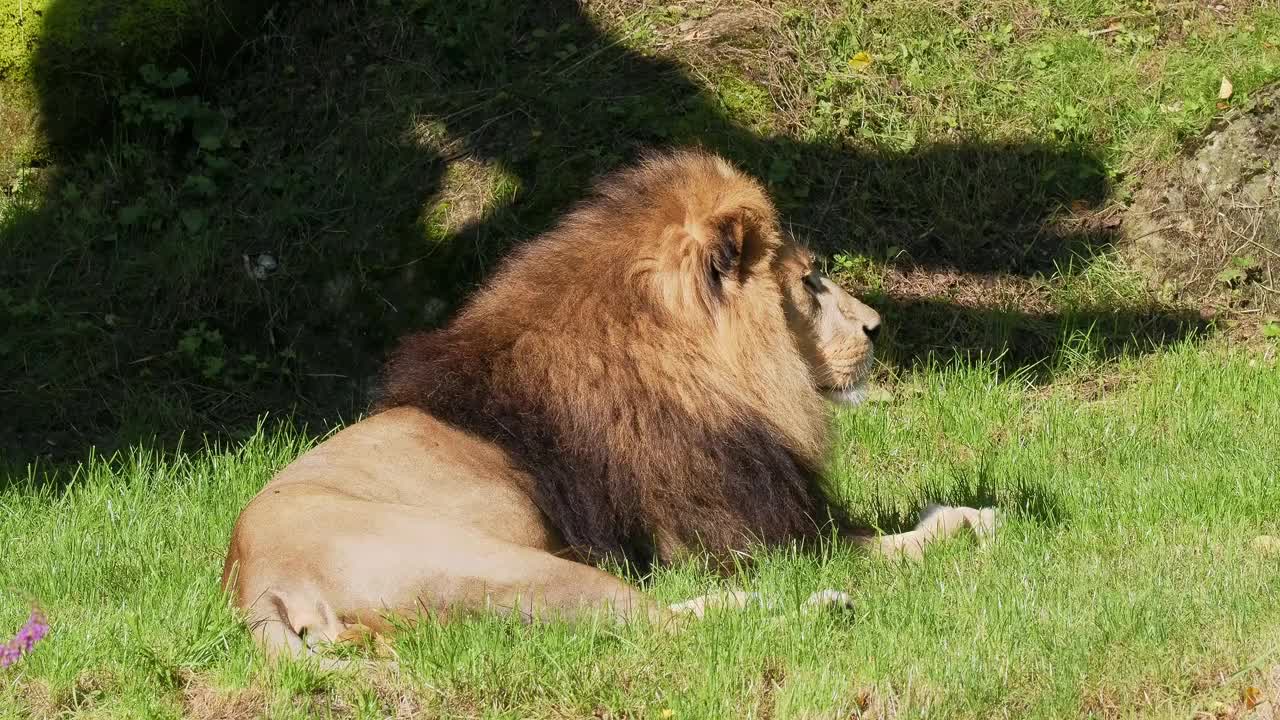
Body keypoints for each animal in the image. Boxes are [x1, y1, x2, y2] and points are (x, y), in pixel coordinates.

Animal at [222, 148, 998, 661]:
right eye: (810, 282)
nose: (877, 327)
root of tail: (255, 585)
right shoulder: (740, 533)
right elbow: (888, 544)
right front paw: (967, 519)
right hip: (507, 567)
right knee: (667, 627)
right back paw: (818, 609)